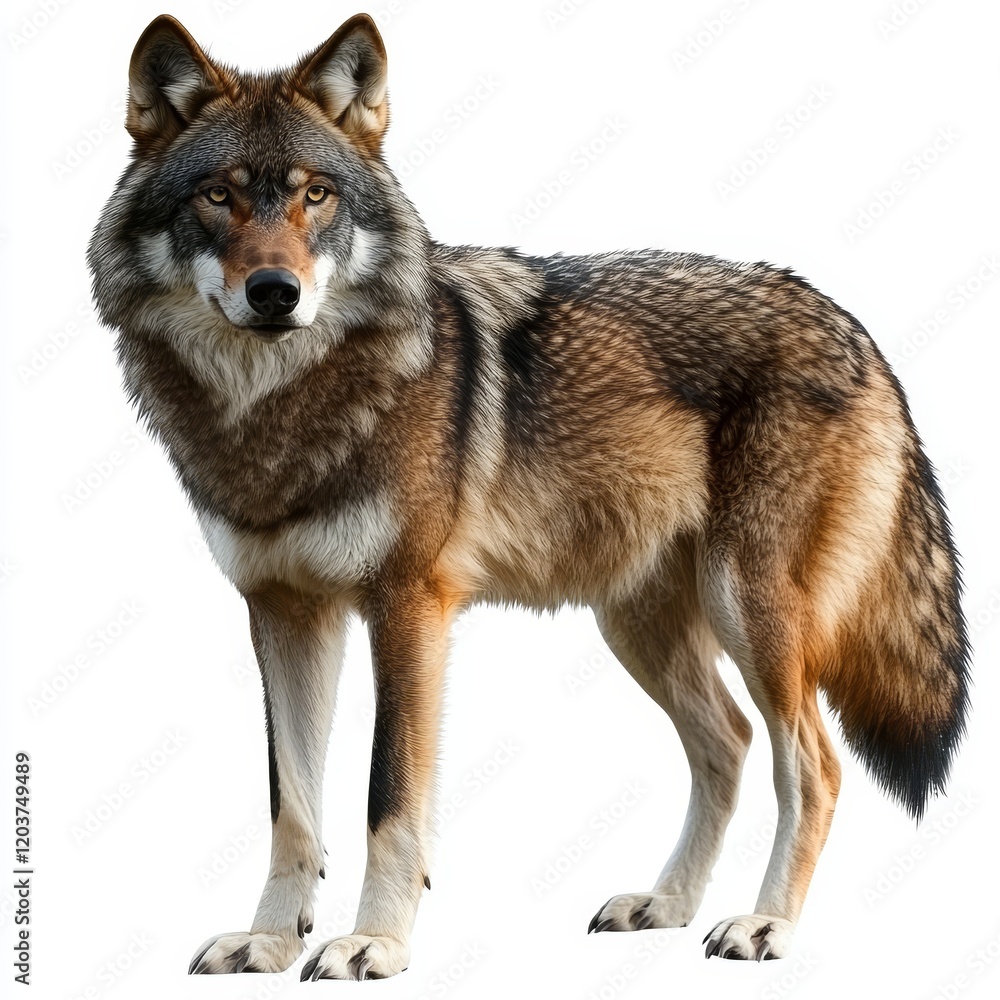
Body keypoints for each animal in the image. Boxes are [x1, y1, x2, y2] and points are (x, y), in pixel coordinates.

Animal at [88, 13, 969, 979]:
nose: (276, 293)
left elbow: (387, 794)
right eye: (219, 196)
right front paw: (271, 941)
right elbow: (292, 804)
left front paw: (375, 943)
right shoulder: (283, 613)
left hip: (751, 613)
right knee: (730, 745)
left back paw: (763, 925)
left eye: (316, 196)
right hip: (639, 625)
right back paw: (665, 905)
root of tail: (857, 329)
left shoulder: (409, 607)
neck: (279, 412)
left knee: (813, 765)